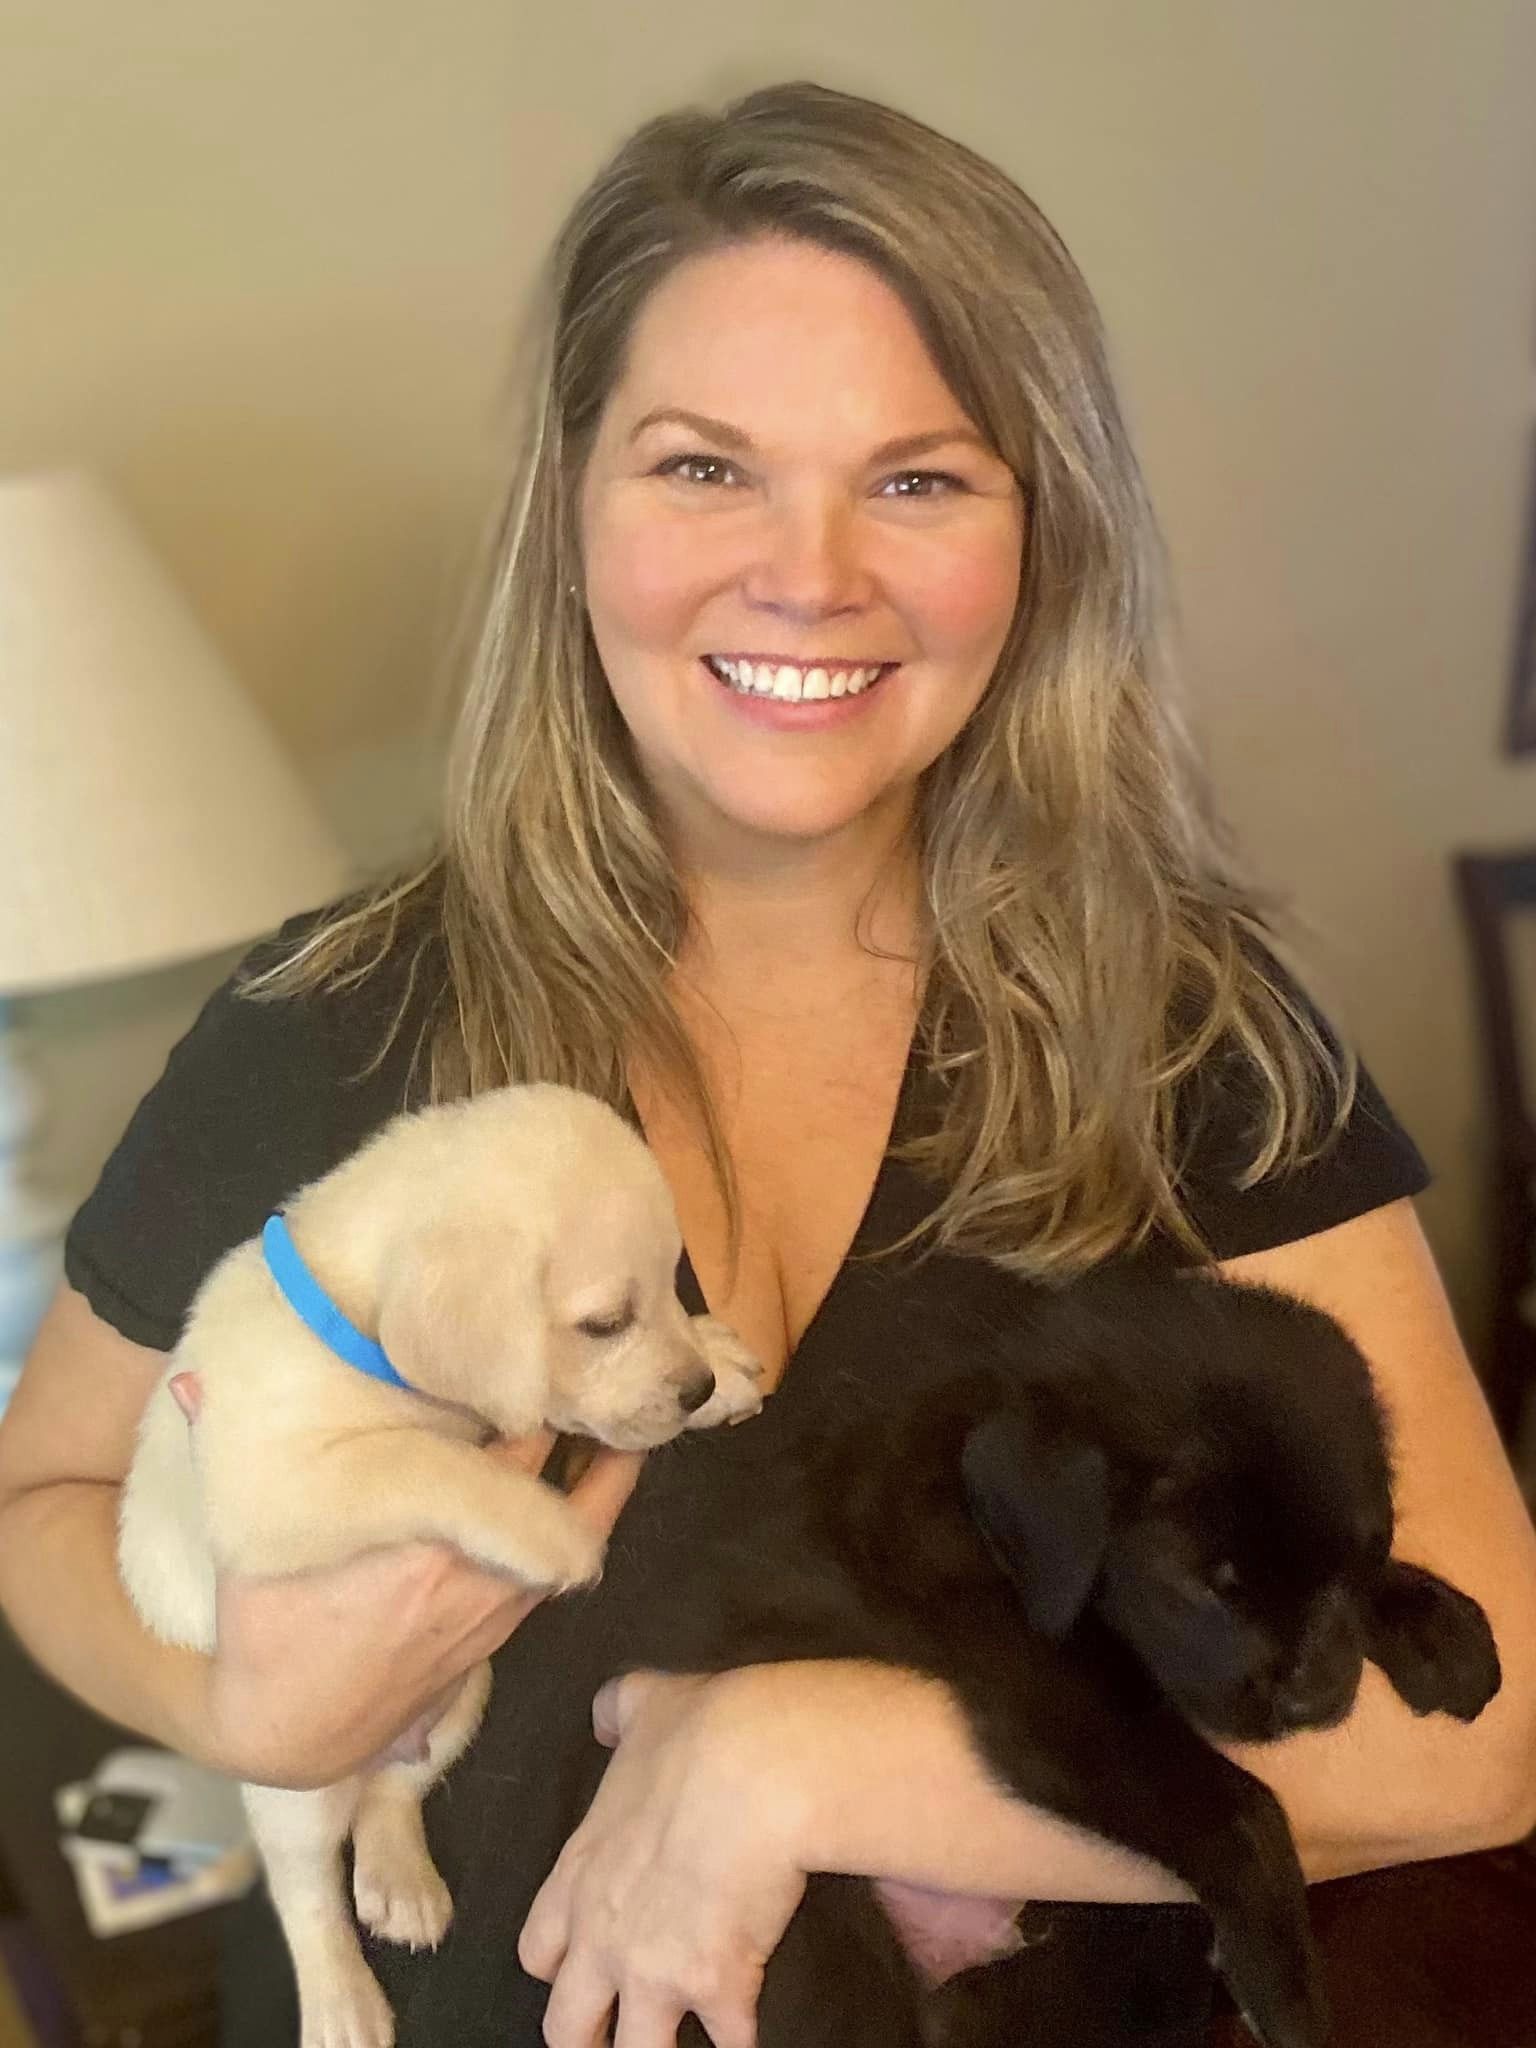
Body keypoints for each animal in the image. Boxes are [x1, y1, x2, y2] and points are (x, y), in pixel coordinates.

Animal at [638, 1261, 1507, 2048]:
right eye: (1203, 1587)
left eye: (1363, 1552)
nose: (1317, 1704)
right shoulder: (1058, 1703)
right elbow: (1244, 1809)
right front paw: (1286, 1986)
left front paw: (1436, 1622)